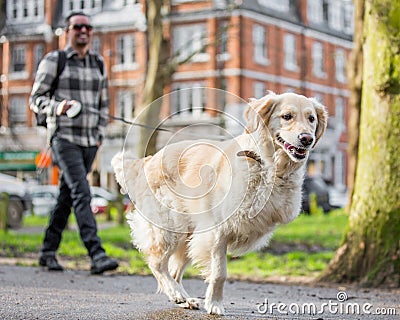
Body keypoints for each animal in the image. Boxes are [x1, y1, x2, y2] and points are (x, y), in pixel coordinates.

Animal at [111, 91, 326, 314]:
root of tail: (148, 160)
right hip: (170, 225)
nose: (307, 139)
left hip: (189, 234)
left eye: (311, 119)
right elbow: (220, 273)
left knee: (174, 269)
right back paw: (177, 293)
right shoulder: (217, 231)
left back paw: (184, 298)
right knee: (157, 263)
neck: (269, 165)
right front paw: (215, 304)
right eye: (287, 116)